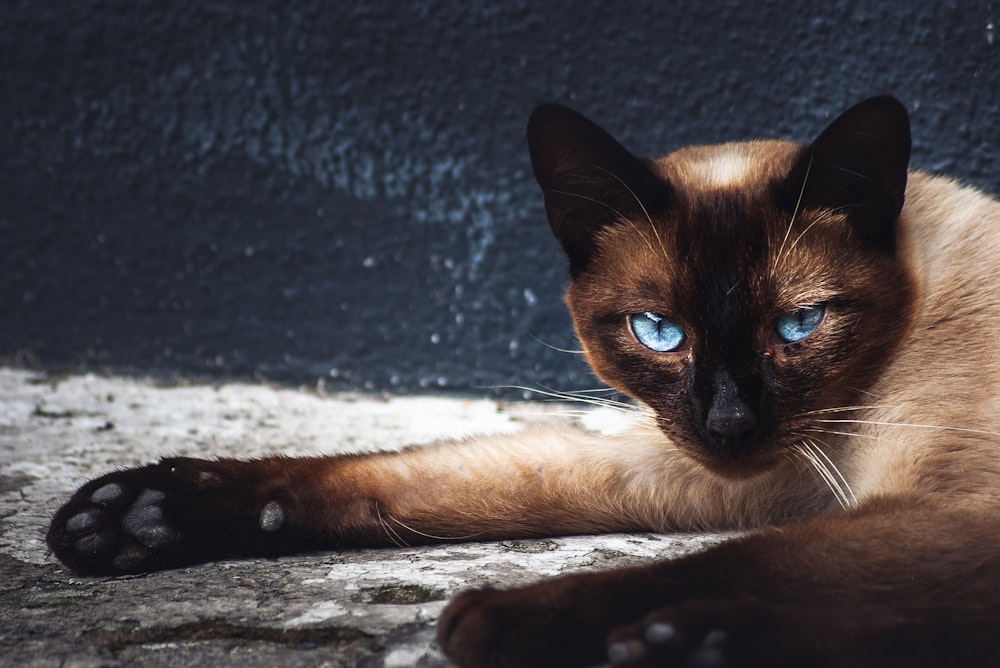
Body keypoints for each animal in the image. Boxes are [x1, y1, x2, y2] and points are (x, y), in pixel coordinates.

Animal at [48, 95, 1000, 668]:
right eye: (659, 332)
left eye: (797, 327)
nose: (729, 423)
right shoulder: (724, 470)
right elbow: (430, 479)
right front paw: (135, 516)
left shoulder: (943, 503)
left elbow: (739, 559)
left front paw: (490, 621)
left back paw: (679, 644)